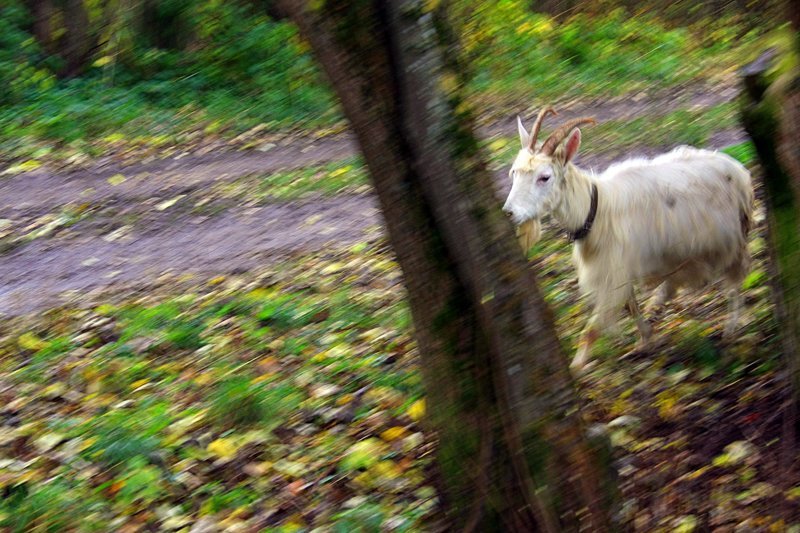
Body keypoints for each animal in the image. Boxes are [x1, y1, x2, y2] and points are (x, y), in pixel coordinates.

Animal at [506, 109, 756, 372]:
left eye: (544, 177)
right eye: (514, 174)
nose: (509, 213)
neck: (596, 209)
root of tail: (738, 170)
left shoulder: (613, 270)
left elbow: (592, 328)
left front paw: (576, 368)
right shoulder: (620, 266)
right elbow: (630, 304)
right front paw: (644, 339)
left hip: (730, 237)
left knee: (734, 282)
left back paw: (731, 328)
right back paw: (658, 305)